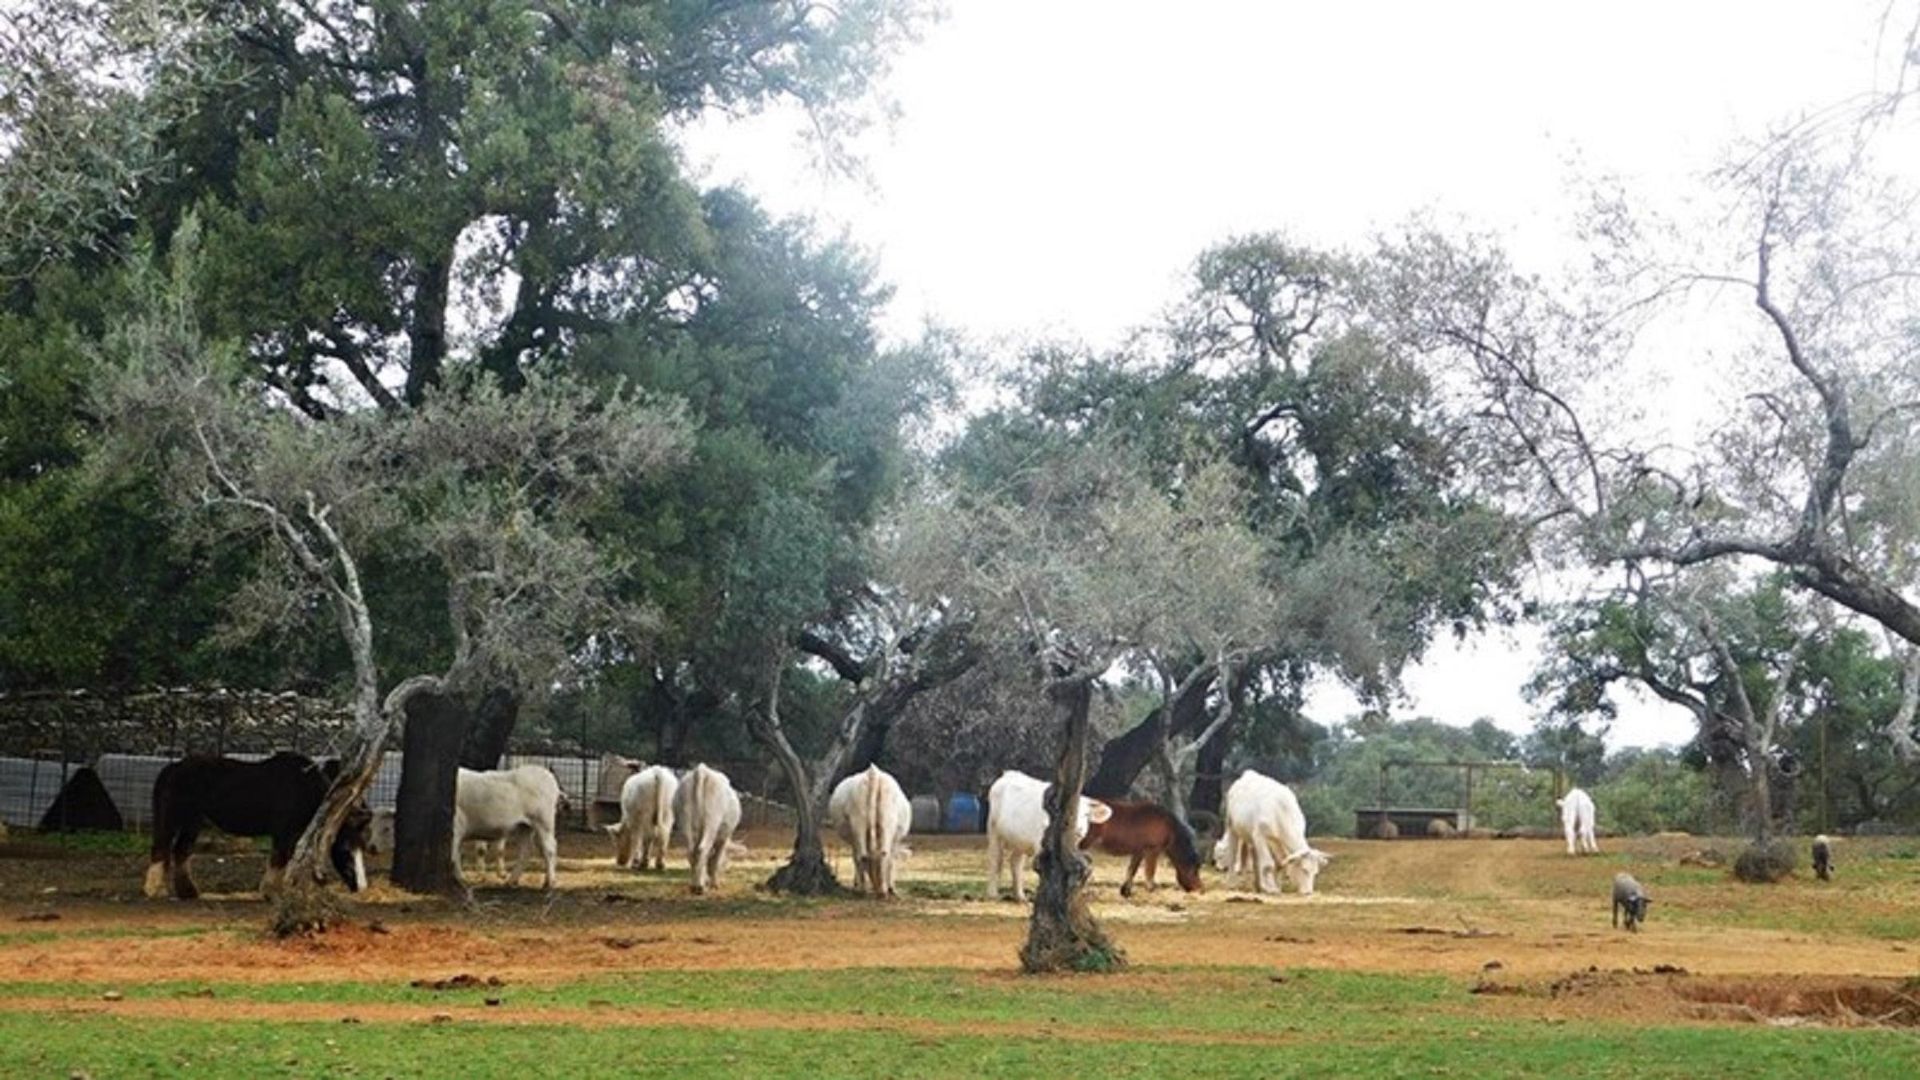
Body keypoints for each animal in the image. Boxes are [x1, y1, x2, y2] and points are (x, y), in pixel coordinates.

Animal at [144, 749, 368, 899]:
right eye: (346, 851)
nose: (360, 887)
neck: (303, 786)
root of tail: (173, 767)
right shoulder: (283, 832)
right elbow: (280, 858)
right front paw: (271, 892)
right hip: (174, 819)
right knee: (162, 849)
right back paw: (154, 890)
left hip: (193, 822)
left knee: (181, 851)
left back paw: (187, 892)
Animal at [672, 757, 737, 891]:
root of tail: (702, 771)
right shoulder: (723, 838)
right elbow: (715, 859)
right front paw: (714, 883)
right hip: (712, 819)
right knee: (702, 849)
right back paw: (699, 887)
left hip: (684, 819)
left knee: (692, 850)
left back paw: (694, 884)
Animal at [825, 764, 913, 899]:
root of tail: (873, 772)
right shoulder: (894, 842)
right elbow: (891, 861)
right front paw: (891, 887)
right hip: (885, 822)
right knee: (882, 855)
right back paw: (880, 891)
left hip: (860, 821)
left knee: (865, 855)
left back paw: (865, 890)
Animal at [990, 764, 1113, 899]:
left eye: (1086, 814)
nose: (1079, 829)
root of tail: (1009, 774)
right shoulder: (1041, 844)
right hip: (993, 829)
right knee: (996, 859)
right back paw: (993, 893)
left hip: (1020, 840)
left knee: (1016, 862)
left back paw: (1020, 896)